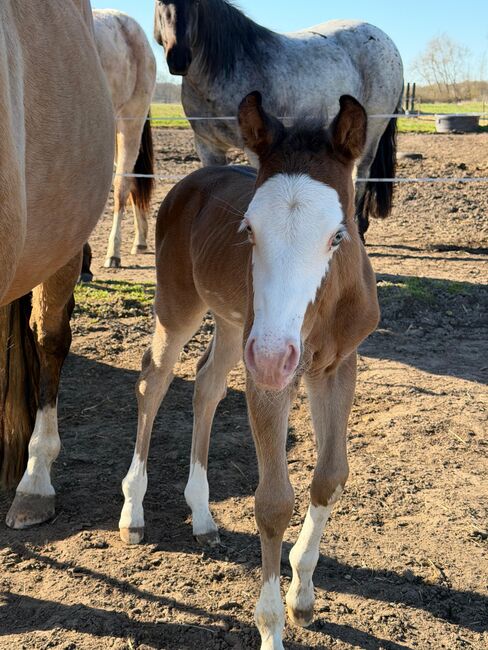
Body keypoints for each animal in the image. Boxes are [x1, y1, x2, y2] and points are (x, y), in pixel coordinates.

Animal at [119, 91, 380, 649]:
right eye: (248, 230)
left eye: (338, 236)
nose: (273, 356)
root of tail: (193, 180)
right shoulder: (271, 380)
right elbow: (273, 503)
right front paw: (272, 628)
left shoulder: (336, 365)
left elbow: (330, 476)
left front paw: (302, 596)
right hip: (184, 309)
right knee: (154, 381)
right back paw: (133, 512)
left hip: (234, 324)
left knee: (206, 384)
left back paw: (201, 516)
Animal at [153, 0, 404, 239]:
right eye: (160, 2)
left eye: (196, 3)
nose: (179, 59)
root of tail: (386, 40)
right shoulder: (208, 146)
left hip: (371, 131)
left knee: (361, 175)